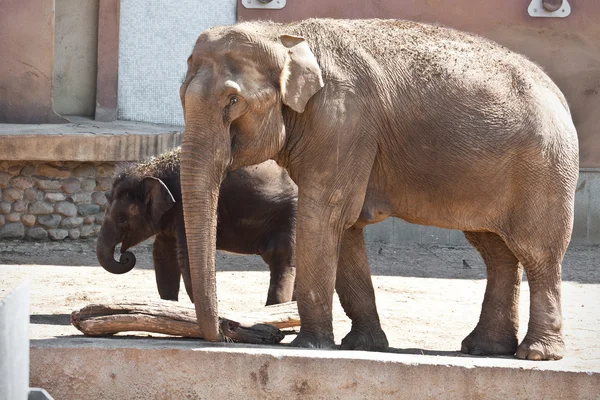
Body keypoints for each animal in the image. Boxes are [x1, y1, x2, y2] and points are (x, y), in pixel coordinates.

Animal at [95, 148, 298, 304]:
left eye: (121, 219)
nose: (125, 257)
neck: (156, 168)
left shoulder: (187, 205)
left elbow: (186, 256)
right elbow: (163, 252)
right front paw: (169, 306)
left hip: (292, 213)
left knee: (280, 256)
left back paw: (274, 307)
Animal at [180, 19, 580, 362]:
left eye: (233, 102)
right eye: (182, 96)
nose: (223, 333)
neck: (284, 35)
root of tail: (558, 95)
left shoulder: (342, 120)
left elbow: (324, 213)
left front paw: (310, 345)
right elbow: (345, 227)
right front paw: (361, 345)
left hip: (544, 168)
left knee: (537, 252)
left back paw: (536, 354)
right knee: (495, 250)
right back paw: (485, 349)